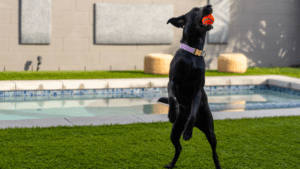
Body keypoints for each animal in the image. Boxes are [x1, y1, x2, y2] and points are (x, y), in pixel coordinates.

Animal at [158, 4, 221, 168]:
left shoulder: (198, 90)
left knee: (214, 153)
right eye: (195, 10)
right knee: (179, 147)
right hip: (174, 131)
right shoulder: (172, 81)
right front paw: (171, 113)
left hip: (210, 132)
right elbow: (172, 98)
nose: (209, 6)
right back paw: (171, 164)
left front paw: (187, 132)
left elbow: (193, 111)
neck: (193, 54)